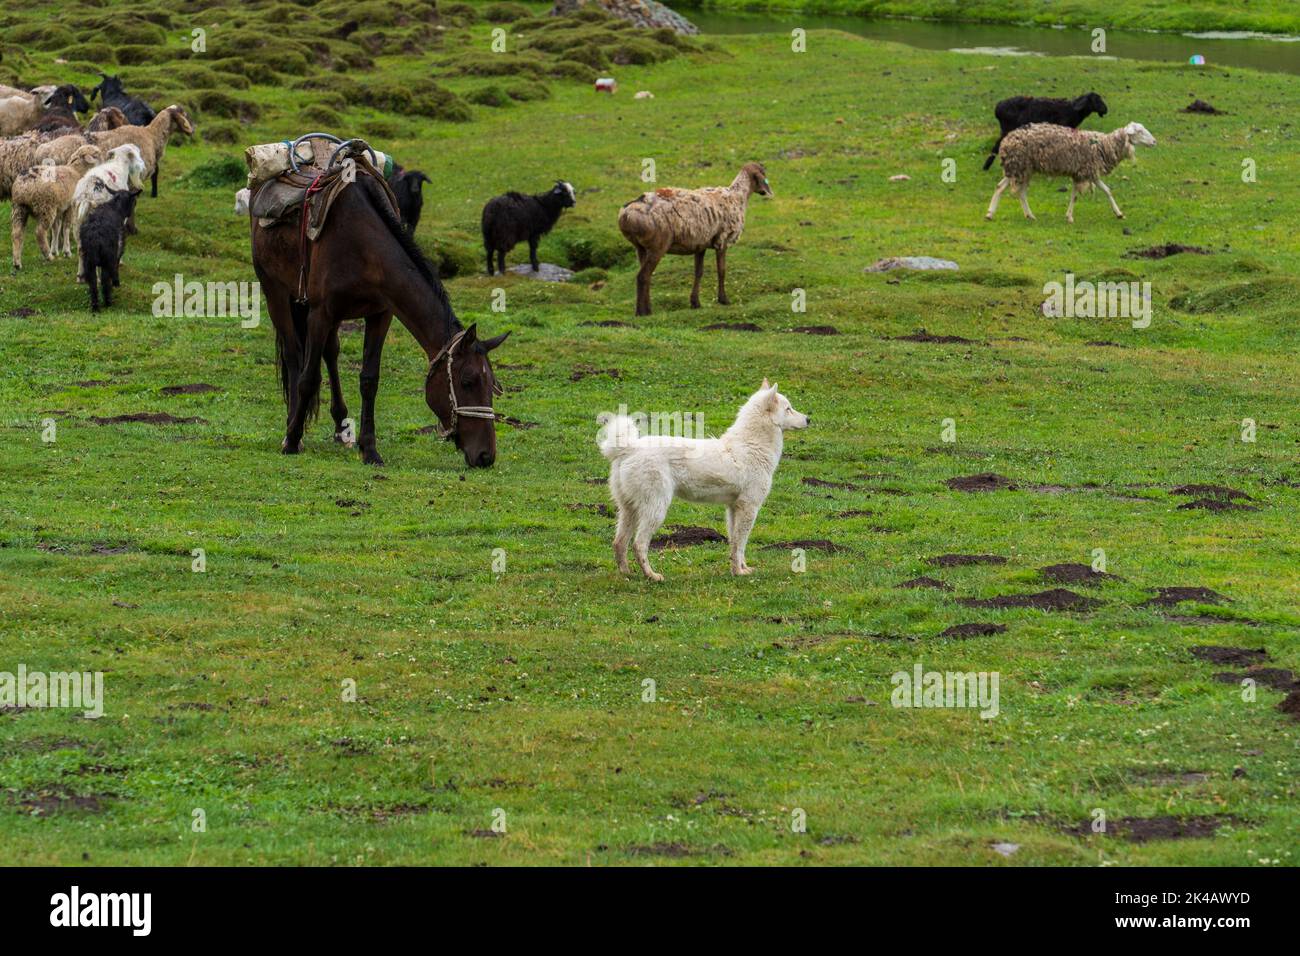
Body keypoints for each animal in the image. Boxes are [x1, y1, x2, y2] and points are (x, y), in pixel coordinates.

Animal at [248, 165, 506, 470]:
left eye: (491, 384)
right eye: (467, 381)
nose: (486, 456)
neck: (363, 244)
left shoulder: (380, 315)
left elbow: (369, 380)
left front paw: (369, 449)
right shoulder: (319, 313)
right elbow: (308, 378)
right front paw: (292, 439)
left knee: (330, 352)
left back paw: (341, 426)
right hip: (275, 292)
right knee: (293, 355)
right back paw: (292, 428)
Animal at [600, 382, 806, 582]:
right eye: (788, 409)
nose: (808, 419)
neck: (751, 445)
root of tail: (629, 448)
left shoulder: (734, 508)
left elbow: (735, 544)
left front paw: (741, 568)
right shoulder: (749, 507)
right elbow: (741, 543)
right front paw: (739, 573)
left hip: (629, 509)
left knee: (619, 542)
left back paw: (627, 574)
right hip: (656, 509)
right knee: (639, 544)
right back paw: (652, 575)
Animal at [618, 160, 769, 316]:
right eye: (763, 174)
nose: (765, 191)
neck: (737, 196)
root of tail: (627, 213)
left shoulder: (700, 244)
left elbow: (698, 272)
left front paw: (695, 302)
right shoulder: (722, 239)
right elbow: (721, 270)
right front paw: (723, 299)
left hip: (641, 247)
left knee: (646, 275)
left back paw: (647, 309)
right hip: (658, 246)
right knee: (643, 276)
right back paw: (642, 312)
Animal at [982, 119, 1159, 222]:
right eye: (1140, 131)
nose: (1154, 142)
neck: (1105, 144)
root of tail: (1007, 140)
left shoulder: (1086, 172)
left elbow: (1101, 191)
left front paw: (1118, 213)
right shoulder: (1086, 171)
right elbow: (1085, 194)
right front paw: (1070, 217)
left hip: (1025, 169)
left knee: (1016, 191)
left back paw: (1026, 215)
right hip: (1019, 166)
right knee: (1005, 188)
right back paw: (992, 213)